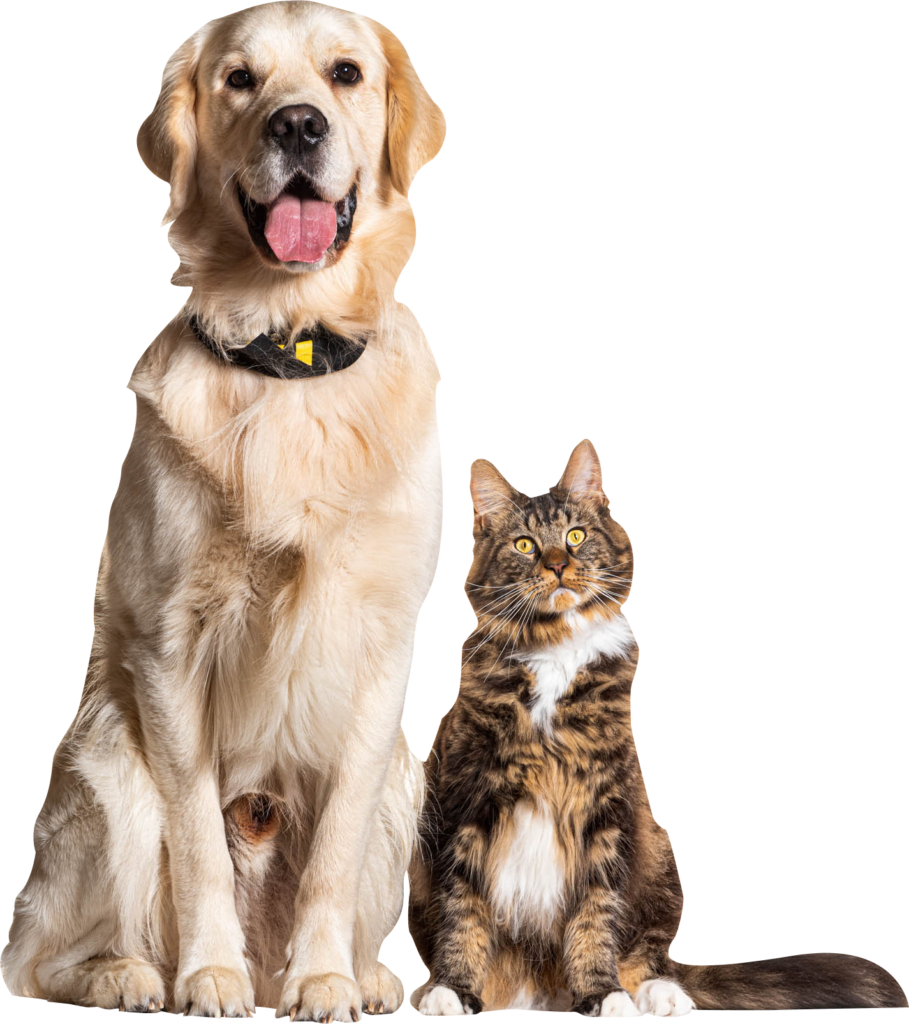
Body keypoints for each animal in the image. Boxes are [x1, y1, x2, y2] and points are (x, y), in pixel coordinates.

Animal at [0, 4, 446, 1019]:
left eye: (346, 73)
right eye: (240, 79)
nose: (298, 125)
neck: (291, 349)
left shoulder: (382, 648)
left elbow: (331, 853)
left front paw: (324, 981)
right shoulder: (170, 646)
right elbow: (198, 839)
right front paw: (209, 975)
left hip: (407, 779)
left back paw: (358, 977)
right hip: (108, 765)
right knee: (31, 957)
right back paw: (134, 976)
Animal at [407, 438, 904, 1015]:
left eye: (576, 536)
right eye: (526, 545)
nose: (557, 565)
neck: (555, 653)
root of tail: (539, 993)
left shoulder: (606, 809)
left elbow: (596, 914)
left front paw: (602, 993)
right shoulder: (465, 804)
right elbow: (463, 909)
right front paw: (454, 989)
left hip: (660, 852)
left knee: (650, 956)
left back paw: (658, 993)